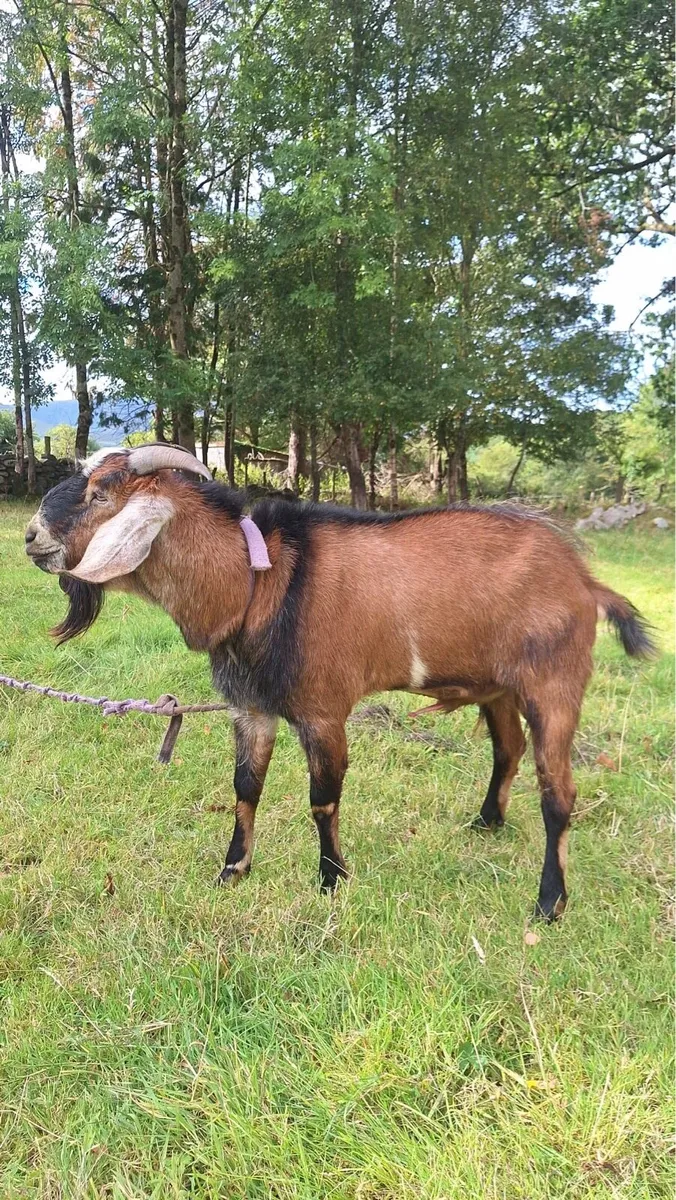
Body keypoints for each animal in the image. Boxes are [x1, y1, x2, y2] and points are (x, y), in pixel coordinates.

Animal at [24, 443, 655, 920]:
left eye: (100, 492)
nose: (30, 535)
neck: (257, 579)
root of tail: (584, 580)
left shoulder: (323, 711)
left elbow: (322, 799)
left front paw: (331, 879)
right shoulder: (252, 707)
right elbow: (245, 788)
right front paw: (233, 869)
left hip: (554, 682)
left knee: (558, 792)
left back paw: (549, 903)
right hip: (497, 685)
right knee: (509, 749)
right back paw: (486, 824)